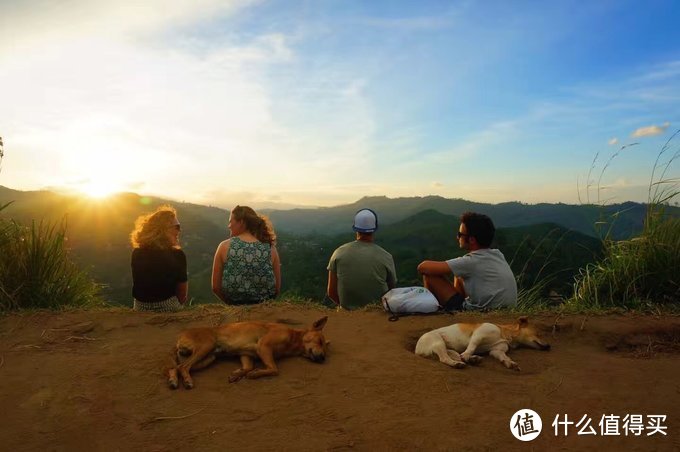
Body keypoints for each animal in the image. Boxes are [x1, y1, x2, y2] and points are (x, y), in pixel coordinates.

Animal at [169, 314, 330, 388]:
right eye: (319, 341)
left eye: (325, 348)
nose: (323, 358)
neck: (293, 339)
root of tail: (179, 337)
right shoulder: (264, 346)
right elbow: (274, 369)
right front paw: (256, 374)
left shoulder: (246, 355)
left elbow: (247, 367)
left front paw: (237, 374)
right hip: (206, 346)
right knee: (183, 367)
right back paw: (187, 380)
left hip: (208, 358)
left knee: (176, 367)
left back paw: (173, 380)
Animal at [412, 314, 548, 370]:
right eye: (538, 334)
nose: (549, 346)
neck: (504, 333)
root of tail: (417, 350)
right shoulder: (478, 335)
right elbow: (472, 347)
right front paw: (467, 355)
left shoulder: (497, 351)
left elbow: (504, 357)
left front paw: (510, 363)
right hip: (438, 342)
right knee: (444, 358)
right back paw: (458, 363)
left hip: (446, 347)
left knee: (454, 355)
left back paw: (473, 359)